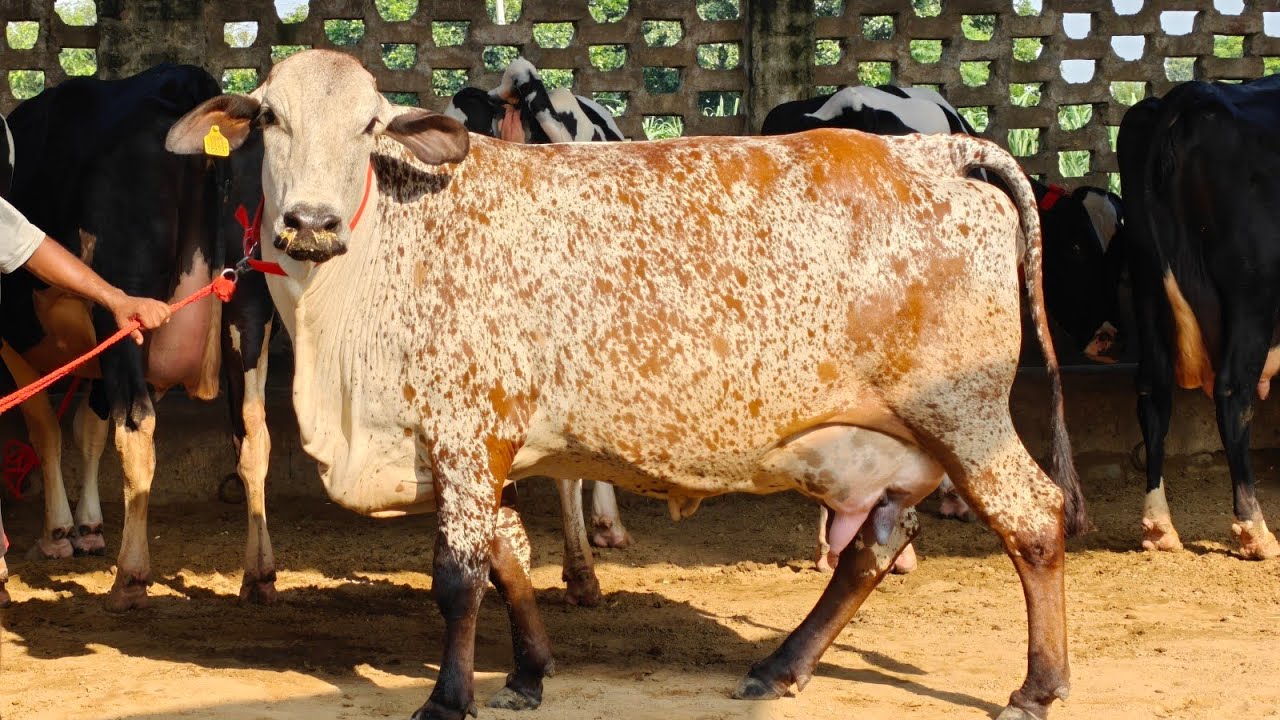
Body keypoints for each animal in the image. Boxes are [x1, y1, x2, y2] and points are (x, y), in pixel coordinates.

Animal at [0, 64, 280, 609]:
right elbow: (87, 430)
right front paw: (86, 527)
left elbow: (46, 428)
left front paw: (59, 532)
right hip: (249, 307)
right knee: (253, 432)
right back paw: (258, 574)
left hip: (125, 312)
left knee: (136, 427)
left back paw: (129, 578)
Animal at [167, 49, 1087, 720]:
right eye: (271, 119)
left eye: (369, 125)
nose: (311, 222)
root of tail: (940, 151)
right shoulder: (485, 447)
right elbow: (510, 554)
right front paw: (530, 672)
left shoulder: (468, 431)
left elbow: (460, 576)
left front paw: (449, 698)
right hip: (897, 441)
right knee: (872, 547)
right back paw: (781, 665)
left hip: (963, 413)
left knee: (1034, 520)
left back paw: (1037, 687)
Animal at [1118, 75, 1280, 560]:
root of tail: (1193, 94)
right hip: (1252, 290)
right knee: (1233, 393)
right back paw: (1255, 531)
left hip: (1147, 280)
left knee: (1153, 390)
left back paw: (1159, 527)